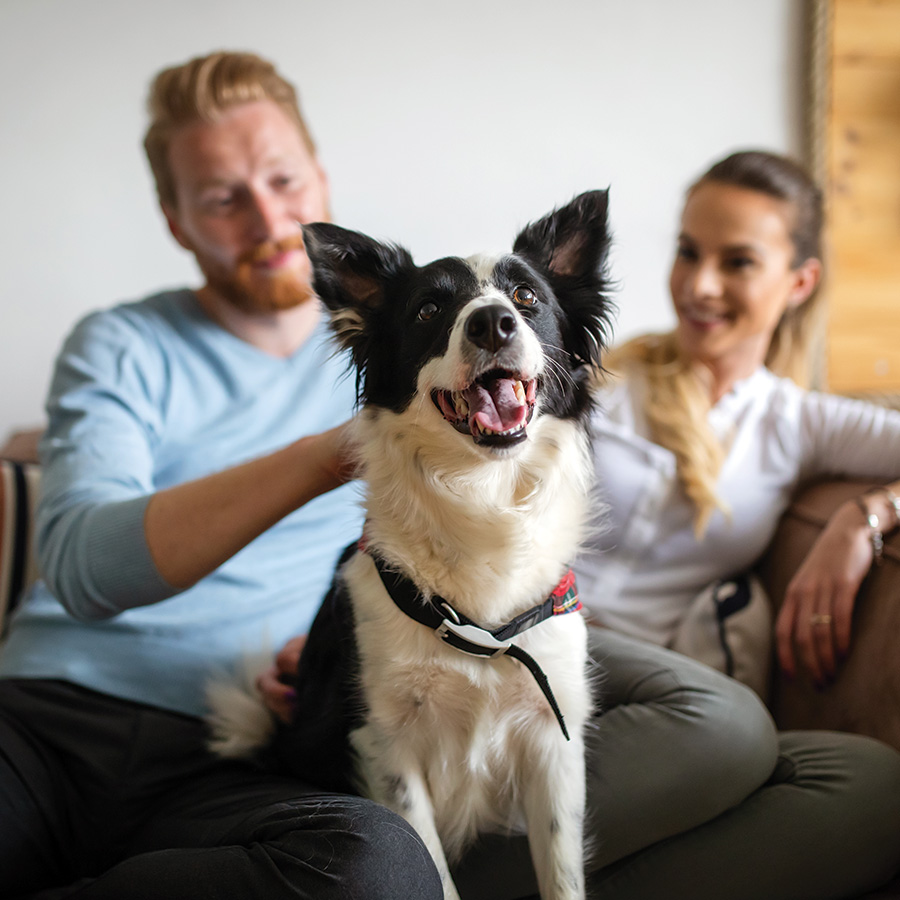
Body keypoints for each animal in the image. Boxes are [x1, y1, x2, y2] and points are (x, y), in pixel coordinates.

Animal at [211, 192, 616, 900]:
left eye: (526, 297)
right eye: (429, 310)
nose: (493, 324)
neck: (482, 498)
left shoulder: (552, 735)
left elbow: (562, 872)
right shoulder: (384, 743)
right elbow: (426, 859)